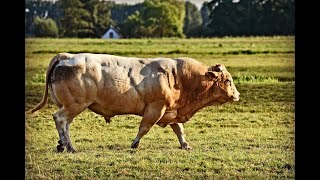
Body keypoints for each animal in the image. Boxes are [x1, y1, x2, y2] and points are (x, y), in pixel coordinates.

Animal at [29, 52, 240, 153]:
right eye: (228, 80)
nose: (237, 95)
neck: (180, 77)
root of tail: (67, 57)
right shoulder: (156, 108)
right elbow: (144, 128)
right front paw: (134, 144)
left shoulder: (171, 111)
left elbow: (179, 130)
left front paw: (185, 145)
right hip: (75, 105)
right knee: (60, 119)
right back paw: (69, 146)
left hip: (69, 105)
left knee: (64, 123)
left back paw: (63, 144)